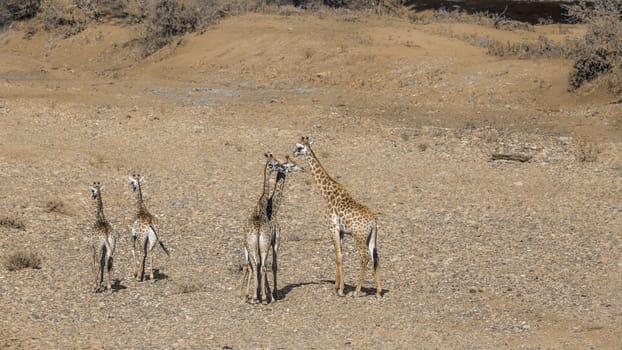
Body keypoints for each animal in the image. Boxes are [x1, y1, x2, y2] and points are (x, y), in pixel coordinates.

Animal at [241, 154, 280, 302]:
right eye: (275, 163)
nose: (282, 166)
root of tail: (257, 231)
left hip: (252, 245)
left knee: (255, 265)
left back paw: (254, 297)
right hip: (263, 245)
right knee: (261, 266)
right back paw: (261, 298)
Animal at [258, 154, 304, 302]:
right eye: (292, 165)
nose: (303, 168)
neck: (274, 209)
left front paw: (271, 293)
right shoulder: (276, 240)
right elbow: (274, 265)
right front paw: (275, 294)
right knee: (263, 265)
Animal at [294, 137, 382, 298]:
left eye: (299, 147)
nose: (293, 153)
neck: (326, 194)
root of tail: (373, 222)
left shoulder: (332, 227)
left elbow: (338, 255)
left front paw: (340, 289)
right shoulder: (341, 231)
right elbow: (339, 255)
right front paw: (336, 286)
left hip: (359, 236)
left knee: (364, 257)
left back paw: (356, 291)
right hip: (372, 236)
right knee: (375, 257)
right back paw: (378, 292)